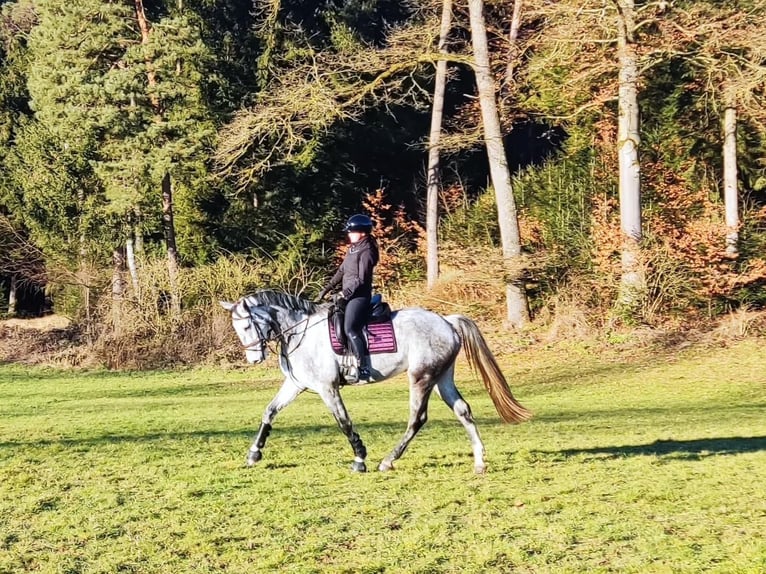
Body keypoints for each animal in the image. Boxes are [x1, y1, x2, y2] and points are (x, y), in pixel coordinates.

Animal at [219, 290, 532, 474]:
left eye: (246, 325)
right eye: (237, 328)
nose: (254, 359)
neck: (299, 332)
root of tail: (446, 321)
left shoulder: (327, 388)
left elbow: (343, 422)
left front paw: (360, 458)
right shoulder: (296, 385)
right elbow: (269, 412)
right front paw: (254, 453)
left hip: (421, 377)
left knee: (417, 418)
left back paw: (388, 460)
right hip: (442, 377)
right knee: (463, 410)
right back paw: (479, 462)